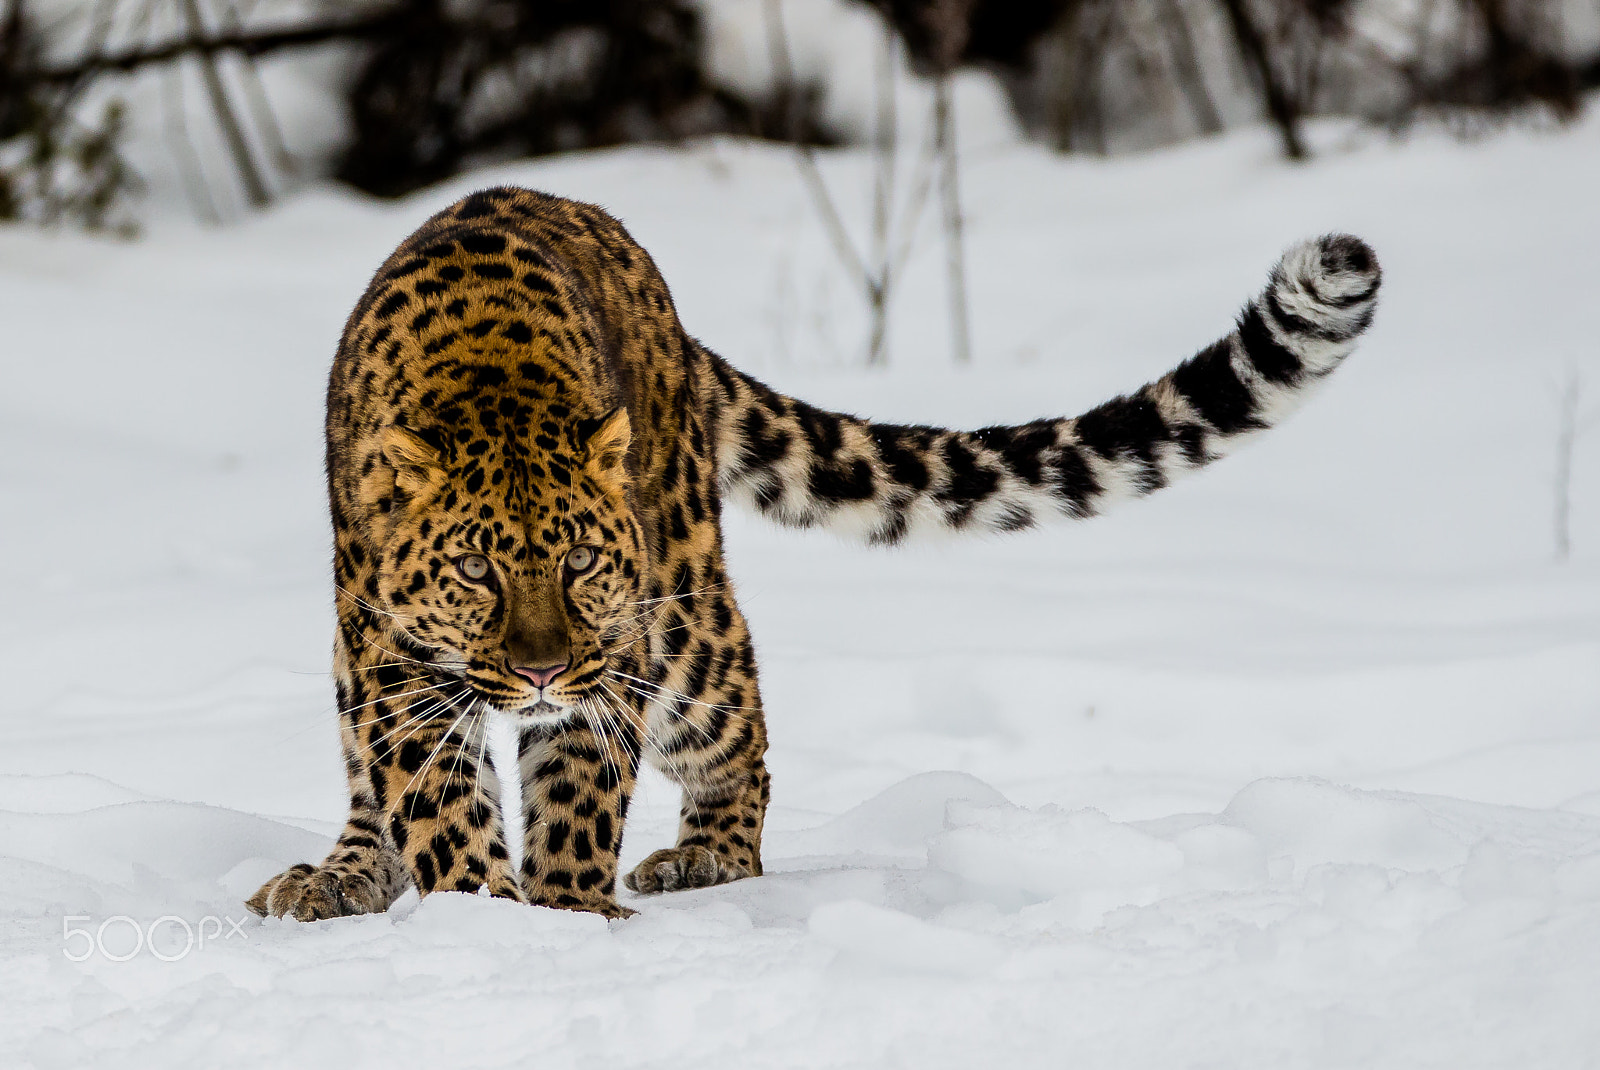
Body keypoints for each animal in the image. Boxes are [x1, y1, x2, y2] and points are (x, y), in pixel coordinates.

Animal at [247, 186, 1380, 922]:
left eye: (579, 565)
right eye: (475, 571)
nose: (536, 670)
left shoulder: (610, 659)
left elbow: (574, 796)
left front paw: (561, 915)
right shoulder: (393, 666)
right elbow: (434, 802)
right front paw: (485, 911)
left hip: (684, 624)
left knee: (739, 730)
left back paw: (708, 858)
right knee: (368, 781)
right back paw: (337, 873)